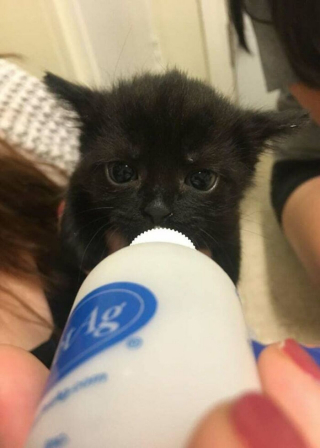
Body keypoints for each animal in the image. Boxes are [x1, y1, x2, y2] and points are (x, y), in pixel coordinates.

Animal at [45, 71, 300, 326]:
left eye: (202, 179)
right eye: (120, 172)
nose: (157, 209)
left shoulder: (228, 222)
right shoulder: (80, 176)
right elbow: (73, 201)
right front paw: (84, 246)